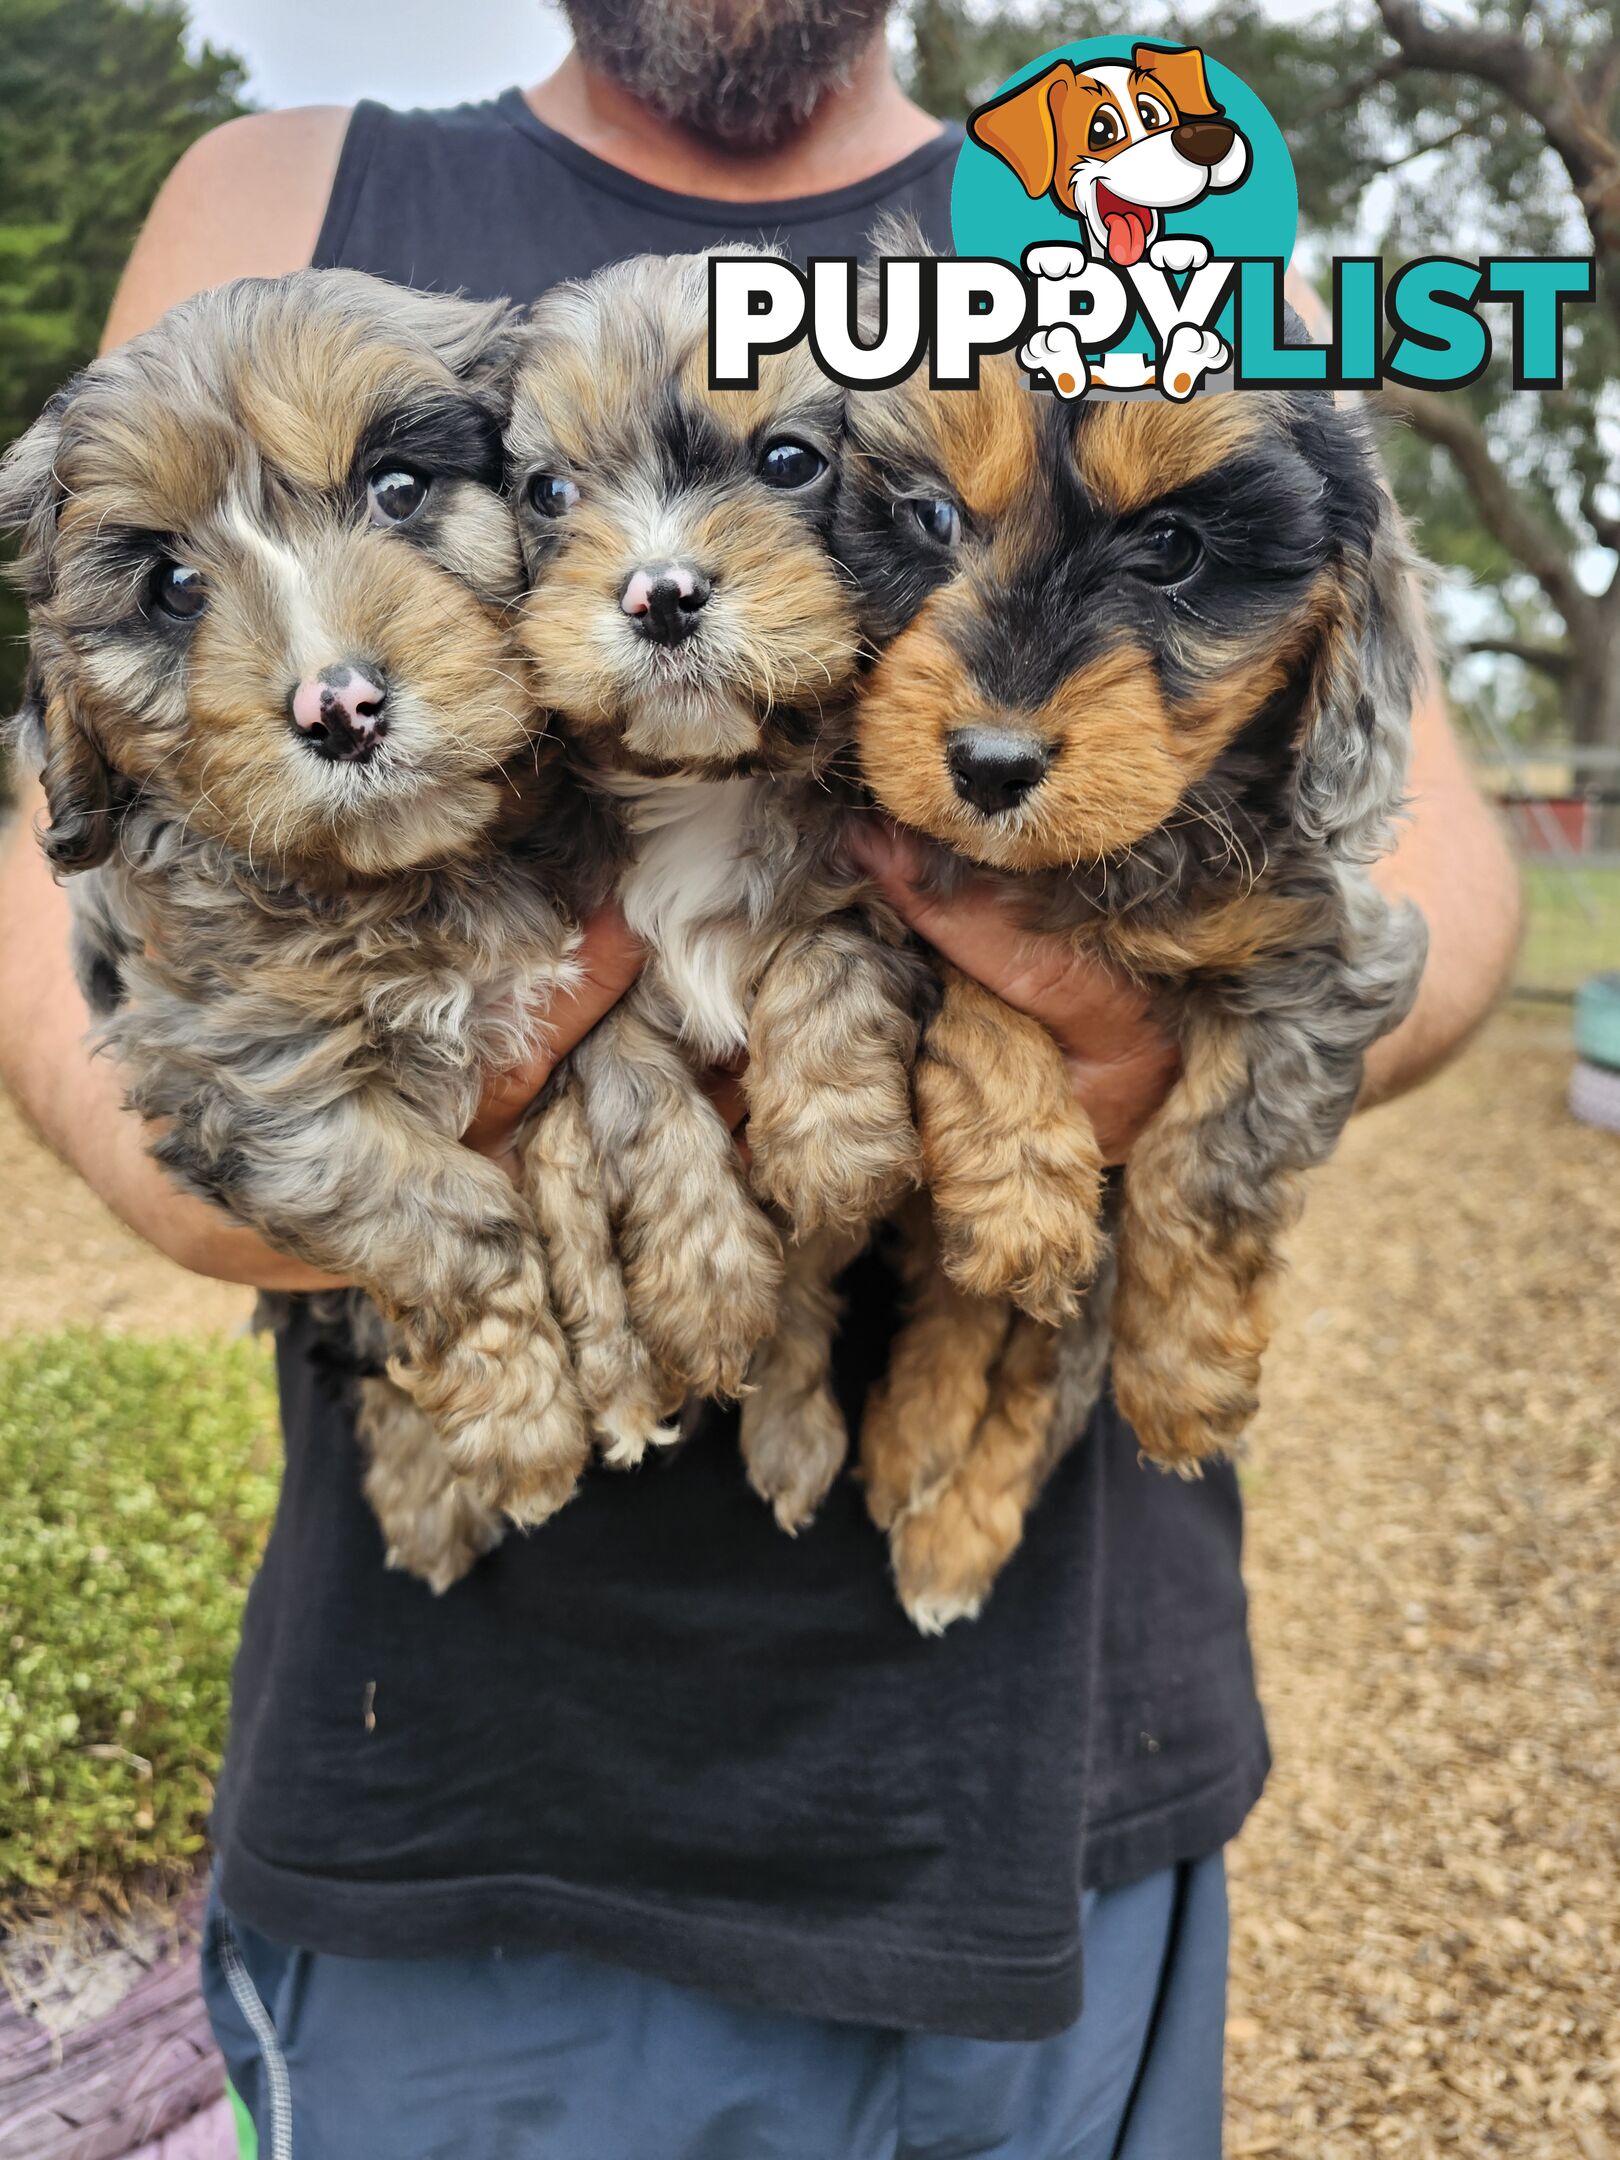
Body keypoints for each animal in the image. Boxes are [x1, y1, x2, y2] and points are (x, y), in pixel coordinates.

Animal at [1, 278, 613, 1581]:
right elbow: (443, 1219)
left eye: (399, 487)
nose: (341, 708)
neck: (411, 876)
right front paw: (522, 1425)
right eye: (175, 589)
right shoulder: (244, 1068)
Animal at [507, 248, 937, 1520]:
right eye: (549, 492)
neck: (708, 778)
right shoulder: (584, 990)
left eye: (789, 461)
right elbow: (648, 1110)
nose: (659, 593)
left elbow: (827, 957)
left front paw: (834, 1143)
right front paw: (703, 1292)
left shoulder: (878, 891)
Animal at [842, 354, 1425, 1624]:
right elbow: (977, 1000)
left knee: (1040, 1375)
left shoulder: (1324, 956)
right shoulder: (890, 880)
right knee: (969, 1300)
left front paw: (1185, 1376)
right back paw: (918, 1434)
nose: (990, 766)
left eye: (1171, 547)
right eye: (929, 516)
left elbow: (1206, 1166)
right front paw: (1020, 1191)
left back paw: (952, 1528)